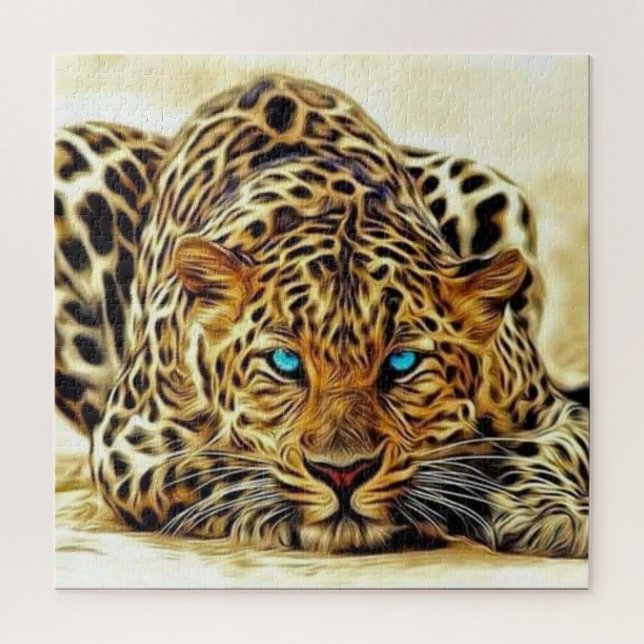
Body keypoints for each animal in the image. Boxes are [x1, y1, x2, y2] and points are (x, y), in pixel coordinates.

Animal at [55, 73, 588, 557]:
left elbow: (552, 449)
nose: (343, 472)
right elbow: (215, 470)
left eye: (403, 364)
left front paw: (551, 513)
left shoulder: (552, 411)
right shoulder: (129, 443)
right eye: (285, 364)